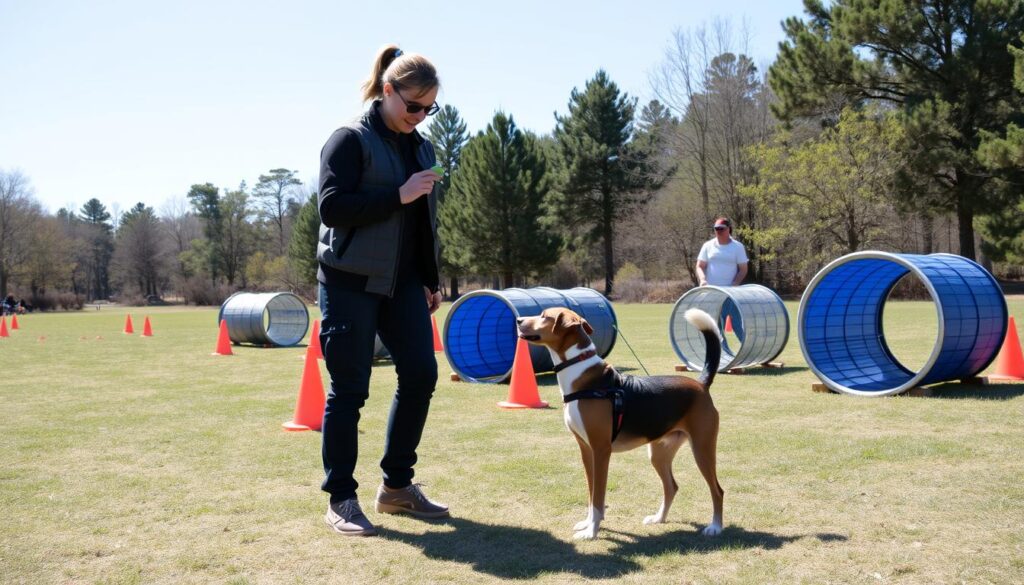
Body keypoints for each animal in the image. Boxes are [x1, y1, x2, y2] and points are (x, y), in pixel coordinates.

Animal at [516, 307, 724, 540]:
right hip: (659, 454)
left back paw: (715, 527)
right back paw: (659, 518)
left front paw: (592, 531)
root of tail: (701, 384)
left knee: (717, 490)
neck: (580, 373)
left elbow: (598, 497)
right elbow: (591, 494)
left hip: (702, 450)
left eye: (544, 316)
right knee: (671, 486)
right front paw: (588, 524)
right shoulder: (586, 451)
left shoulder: (601, 451)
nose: (519, 320)